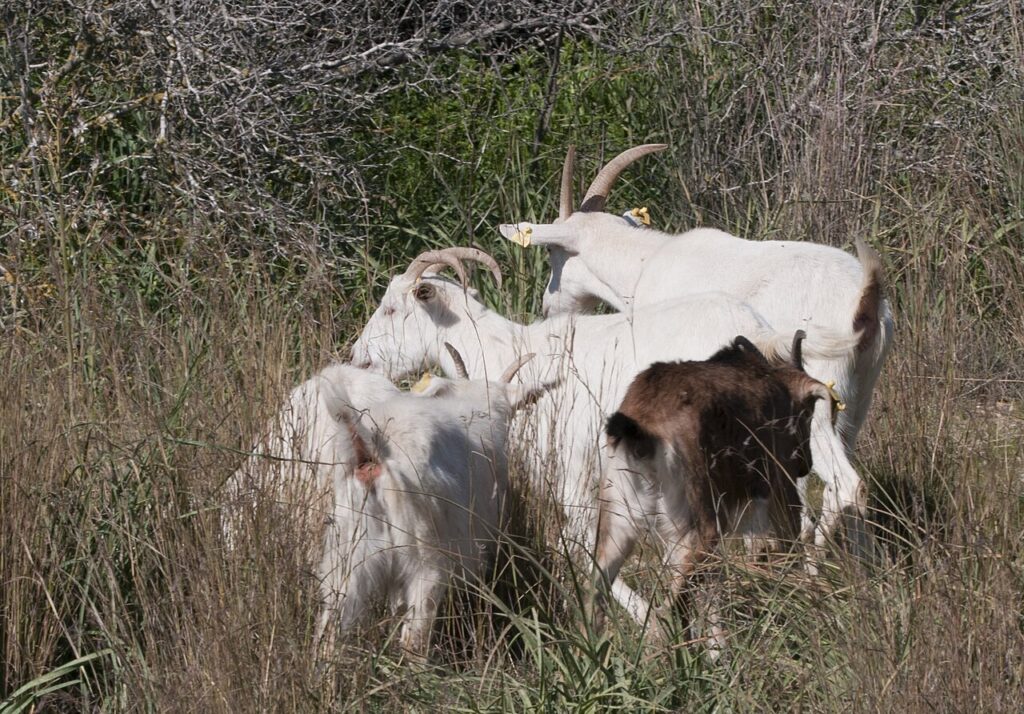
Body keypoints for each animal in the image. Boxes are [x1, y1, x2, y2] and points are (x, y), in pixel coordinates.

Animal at [499, 144, 892, 546]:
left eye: (553, 253)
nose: (548, 306)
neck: (644, 265)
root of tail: (865, 300)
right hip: (857, 401)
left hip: (815, 401)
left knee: (843, 486)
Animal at [592, 331, 831, 648]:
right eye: (807, 412)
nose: (806, 463)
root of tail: (640, 435)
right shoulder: (780, 486)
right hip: (699, 525)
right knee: (664, 613)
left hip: (618, 522)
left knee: (595, 595)